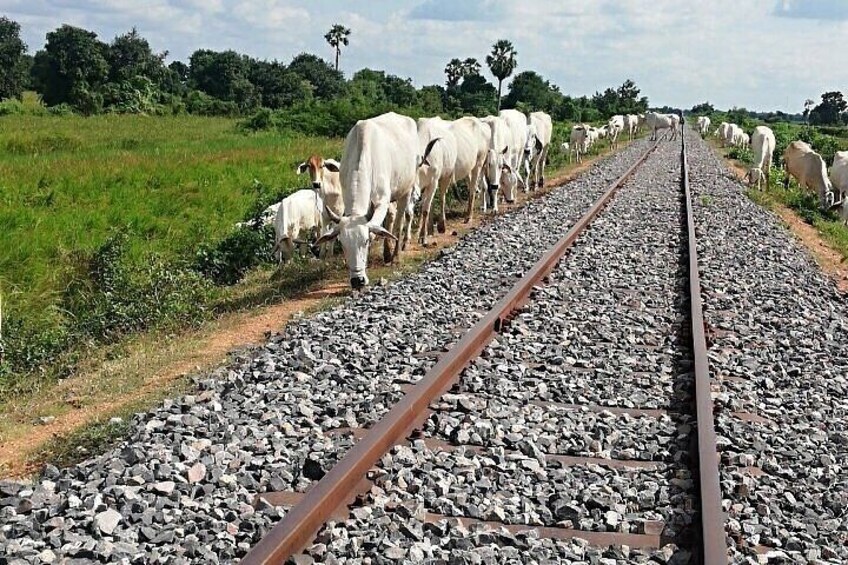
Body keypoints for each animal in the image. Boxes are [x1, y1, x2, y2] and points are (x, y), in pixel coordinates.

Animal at [314, 111, 438, 286]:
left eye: (365, 242)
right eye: (343, 245)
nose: (357, 281)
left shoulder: (382, 199)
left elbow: (378, 229)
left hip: (406, 189)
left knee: (399, 220)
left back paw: (395, 256)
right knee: (391, 217)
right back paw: (387, 252)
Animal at [416, 117, 458, 245]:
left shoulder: (433, 182)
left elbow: (425, 210)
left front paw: (422, 237)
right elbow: (422, 208)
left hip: (446, 176)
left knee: (442, 197)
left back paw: (441, 225)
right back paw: (429, 229)